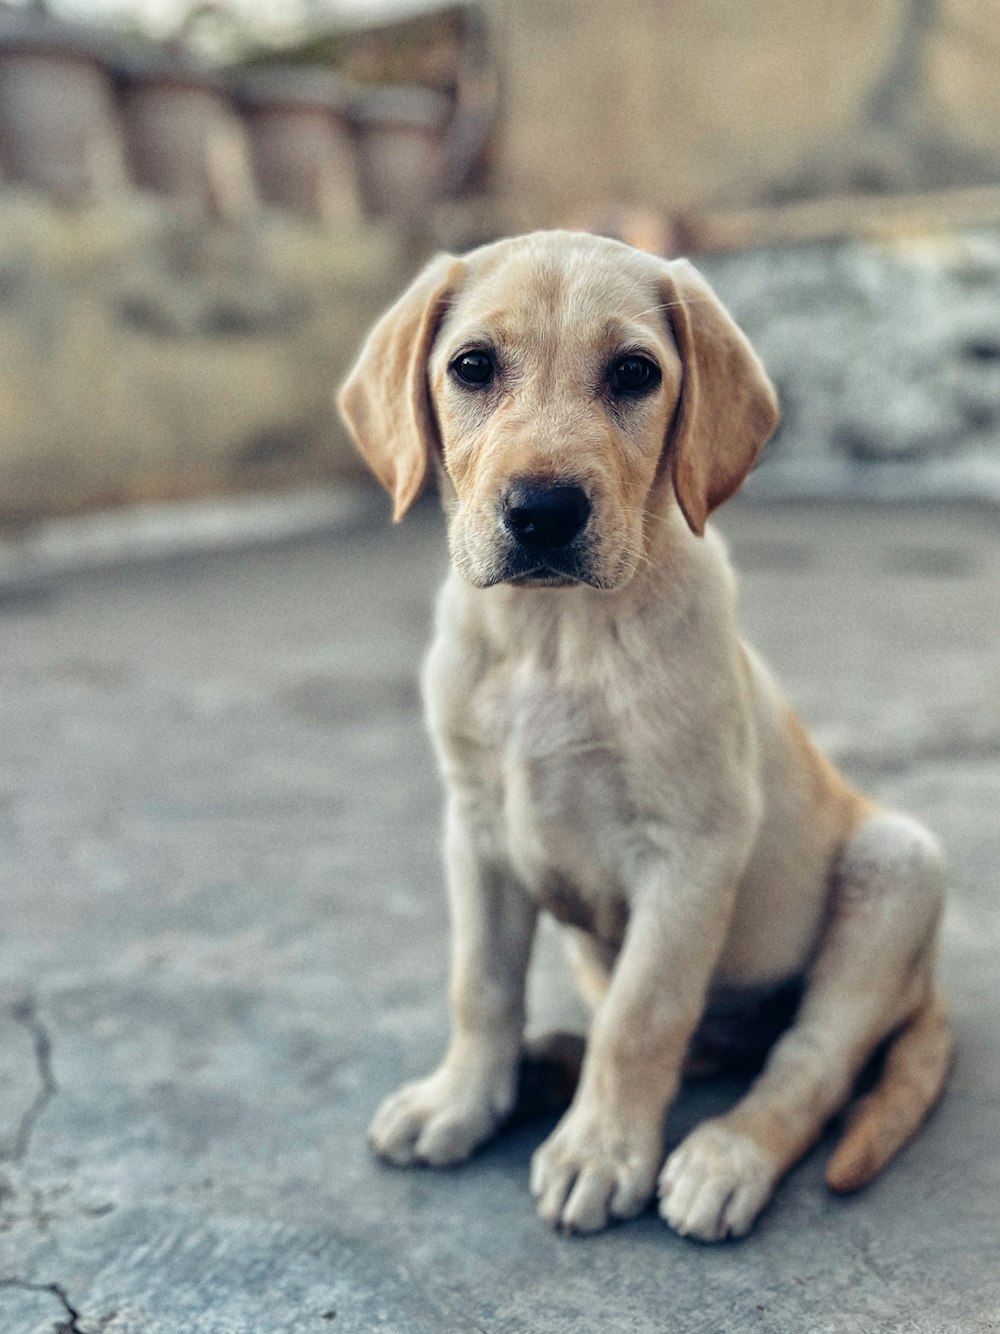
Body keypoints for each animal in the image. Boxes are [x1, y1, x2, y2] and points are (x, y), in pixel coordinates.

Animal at [338, 226, 954, 1237]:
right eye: (472, 366)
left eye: (634, 372)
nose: (543, 512)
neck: (553, 638)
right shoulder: (476, 833)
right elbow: (481, 984)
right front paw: (461, 1099)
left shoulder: (692, 848)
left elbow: (643, 1017)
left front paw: (599, 1153)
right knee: (698, 1045)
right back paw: (543, 1065)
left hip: (898, 868)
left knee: (807, 1064)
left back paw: (723, 1156)